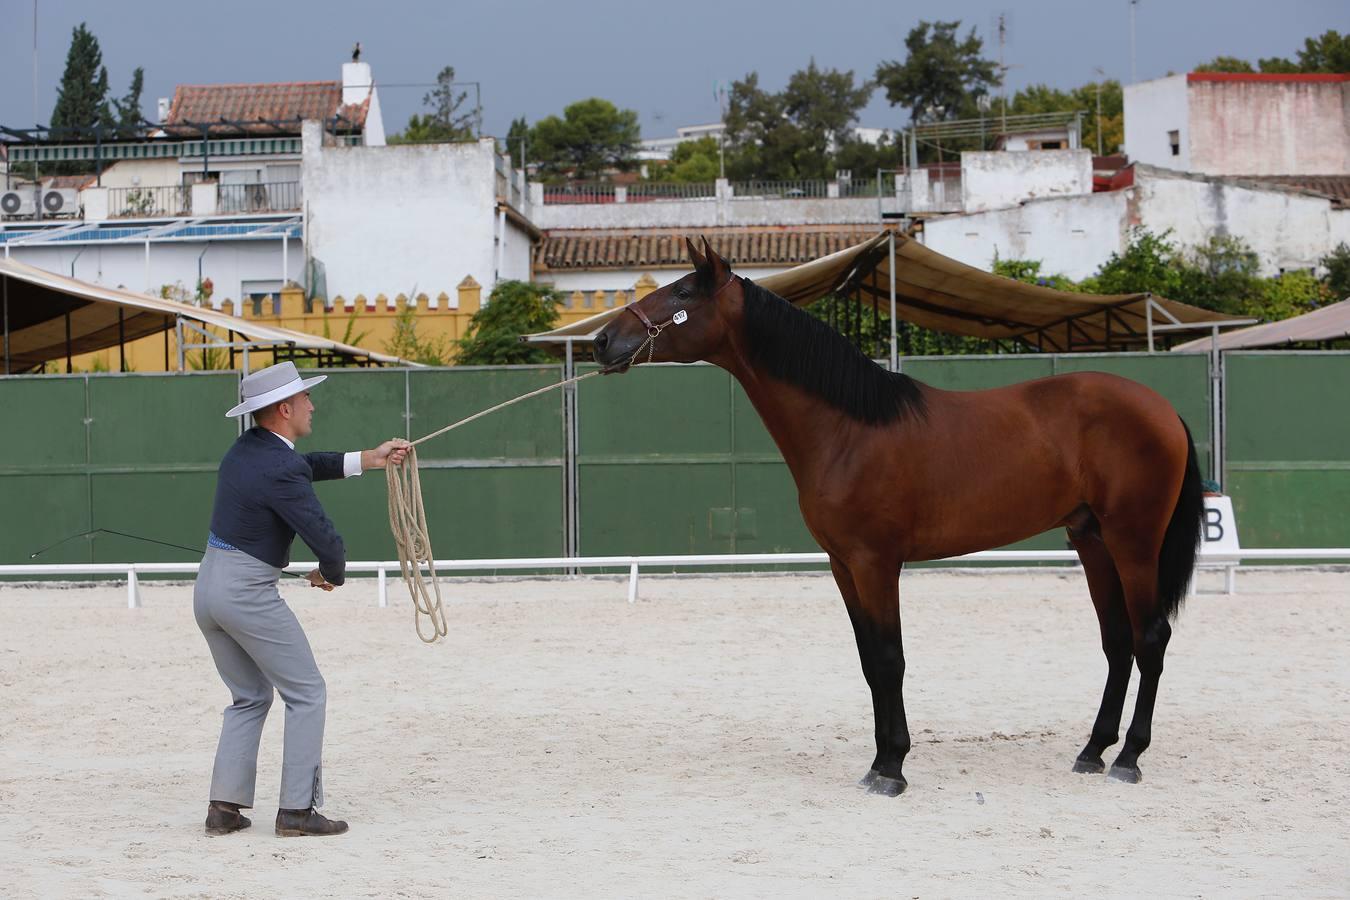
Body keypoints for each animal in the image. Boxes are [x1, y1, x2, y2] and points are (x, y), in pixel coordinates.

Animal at [596, 237, 1209, 793]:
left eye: (682, 293)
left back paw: (1128, 757)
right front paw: (880, 759)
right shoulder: (843, 565)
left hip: (1133, 541)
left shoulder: (876, 563)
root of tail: (1163, 409)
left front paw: (891, 768)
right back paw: (1092, 750)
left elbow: (891, 659)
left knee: (1150, 637)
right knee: (1118, 642)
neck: (849, 428)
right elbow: (870, 661)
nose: (602, 341)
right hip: (1091, 541)